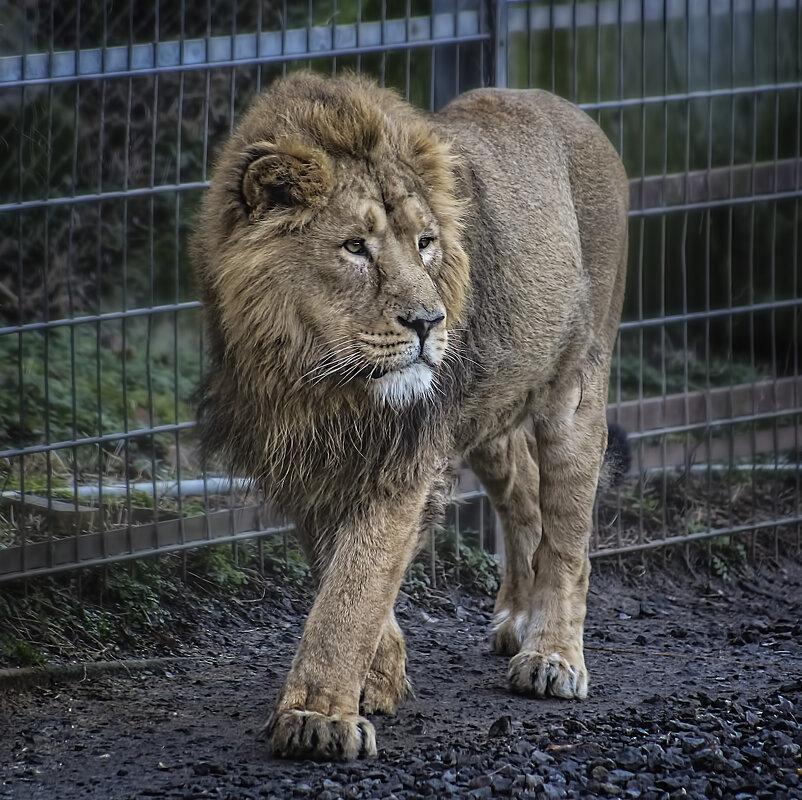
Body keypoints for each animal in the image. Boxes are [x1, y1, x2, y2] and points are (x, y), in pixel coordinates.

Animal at [191, 73, 628, 764]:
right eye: (354, 247)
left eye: (426, 243)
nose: (429, 322)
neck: (323, 381)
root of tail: (565, 106)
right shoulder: (308, 458)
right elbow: (341, 572)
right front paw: (378, 677)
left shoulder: (403, 458)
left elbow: (355, 586)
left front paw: (317, 718)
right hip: (492, 415)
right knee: (524, 496)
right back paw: (517, 618)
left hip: (577, 387)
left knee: (568, 534)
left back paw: (552, 656)